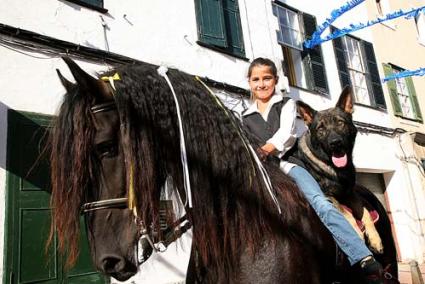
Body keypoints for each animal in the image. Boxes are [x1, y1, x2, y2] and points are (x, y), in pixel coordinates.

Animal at [294, 87, 398, 276]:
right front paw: (357, 232)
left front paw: (375, 238)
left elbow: (365, 213)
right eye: (320, 128)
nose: (335, 143)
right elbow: (346, 213)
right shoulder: (328, 195)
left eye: (340, 123)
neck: (336, 169)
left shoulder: (352, 195)